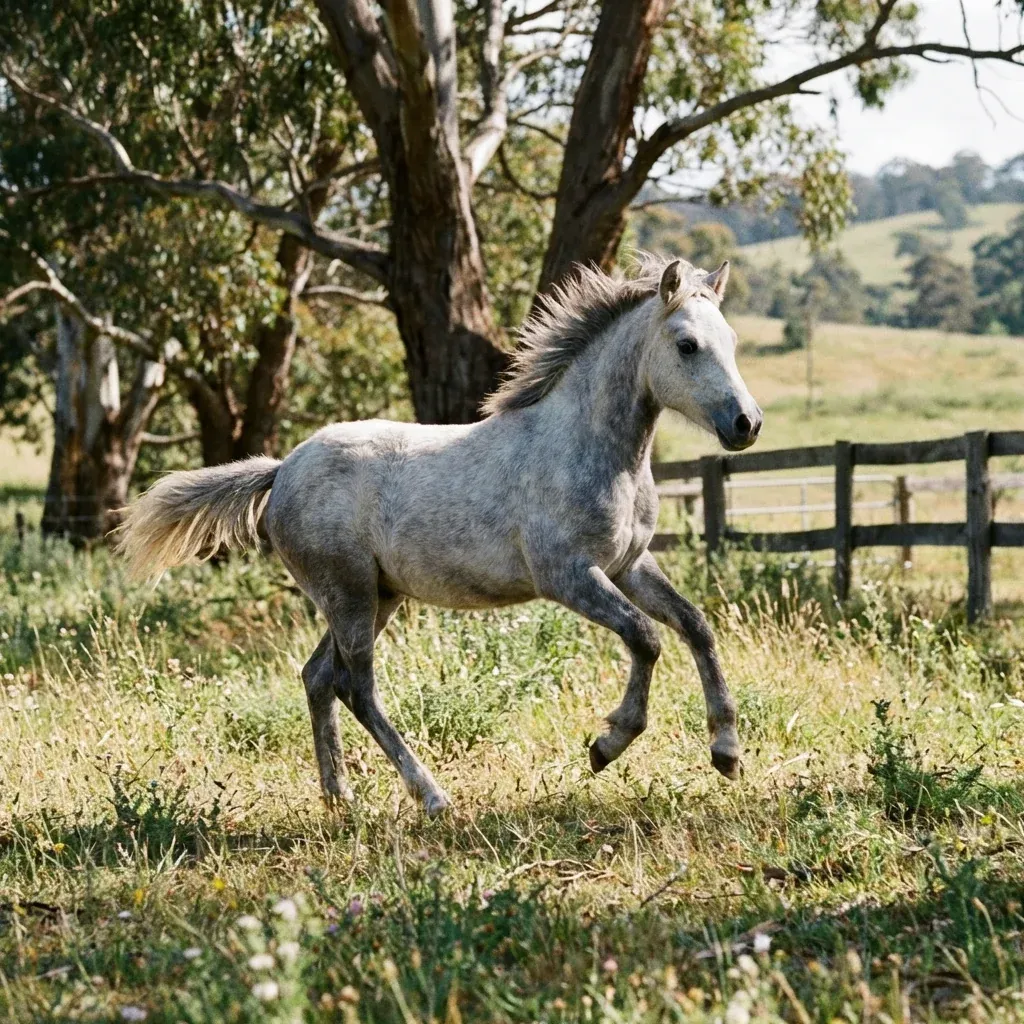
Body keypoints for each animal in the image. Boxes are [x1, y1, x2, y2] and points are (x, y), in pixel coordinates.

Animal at [118, 255, 763, 816]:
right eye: (687, 345)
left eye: (732, 341)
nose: (746, 424)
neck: (587, 447)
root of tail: (281, 471)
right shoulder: (569, 576)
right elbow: (646, 638)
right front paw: (607, 745)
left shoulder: (630, 564)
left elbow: (696, 627)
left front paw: (727, 752)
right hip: (349, 594)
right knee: (356, 688)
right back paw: (430, 796)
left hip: (374, 596)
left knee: (318, 678)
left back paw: (339, 799)